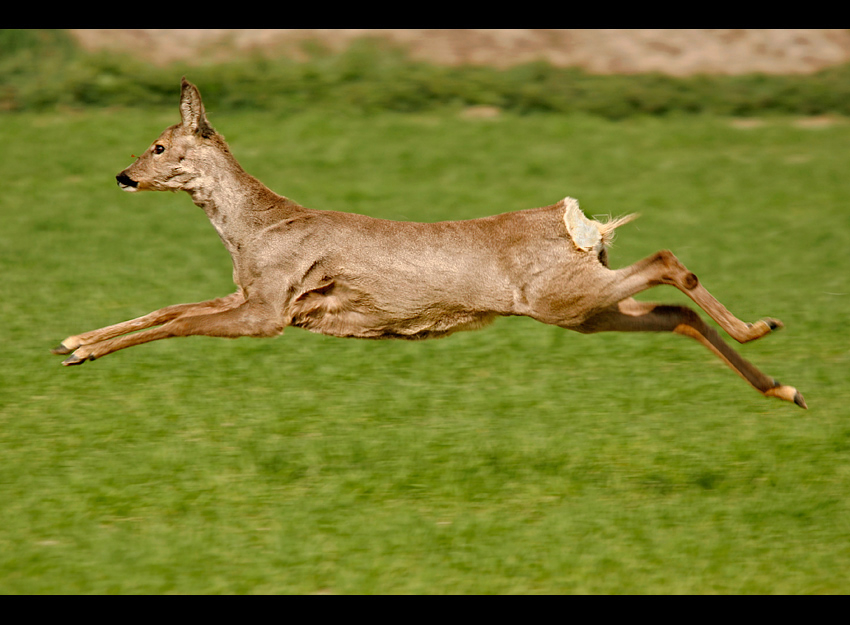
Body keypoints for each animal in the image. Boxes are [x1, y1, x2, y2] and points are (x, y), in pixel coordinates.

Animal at [49, 78, 804, 408]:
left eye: (158, 145)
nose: (122, 175)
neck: (255, 230)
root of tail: (581, 225)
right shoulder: (252, 293)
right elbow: (168, 309)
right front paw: (72, 343)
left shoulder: (269, 310)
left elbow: (177, 321)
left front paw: (82, 349)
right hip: (580, 307)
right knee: (672, 311)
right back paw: (784, 388)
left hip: (560, 296)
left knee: (667, 261)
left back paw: (766, 331)